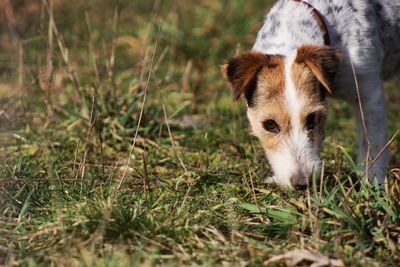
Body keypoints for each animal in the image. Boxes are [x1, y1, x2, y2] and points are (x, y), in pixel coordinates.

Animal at [222, 0, 400, 191]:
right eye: (269, 124)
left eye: (312, 119)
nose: (302, 183)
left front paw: (373, 186)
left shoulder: (368, 92)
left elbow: (372, 143)